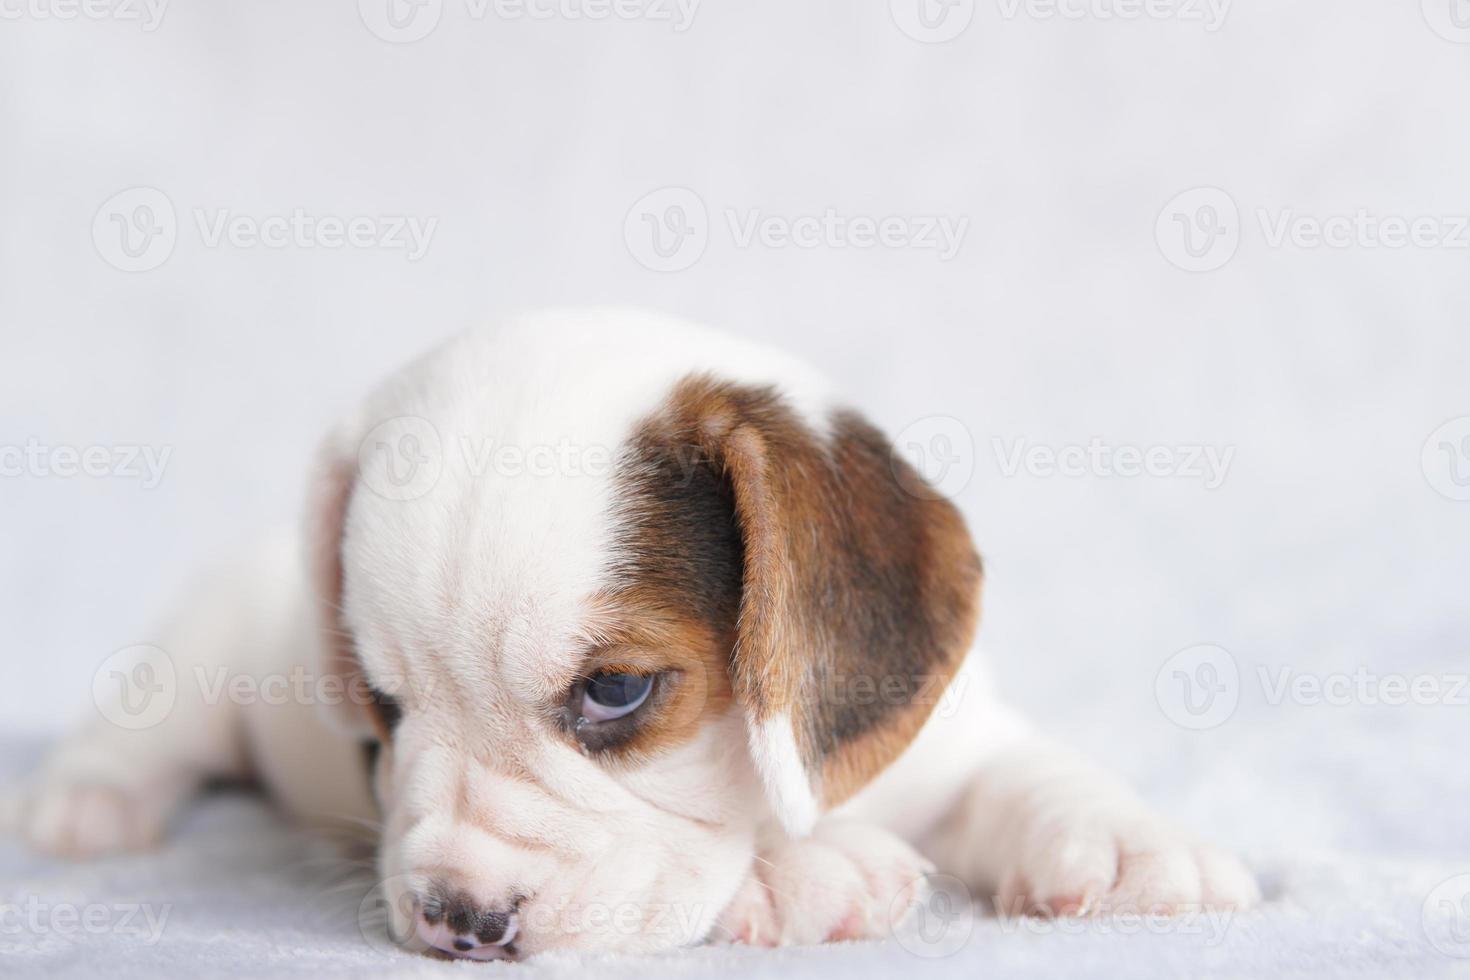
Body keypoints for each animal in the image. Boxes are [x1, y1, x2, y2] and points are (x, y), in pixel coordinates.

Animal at [14, 312, 1252, 957]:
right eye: (382, 709)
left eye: (616, 691)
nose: (460, 918)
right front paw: (806, 869)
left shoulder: (946, 729)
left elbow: (1020, 768)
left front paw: (1133, 842)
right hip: (194, 653)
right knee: (143, 725)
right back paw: (84, 800)